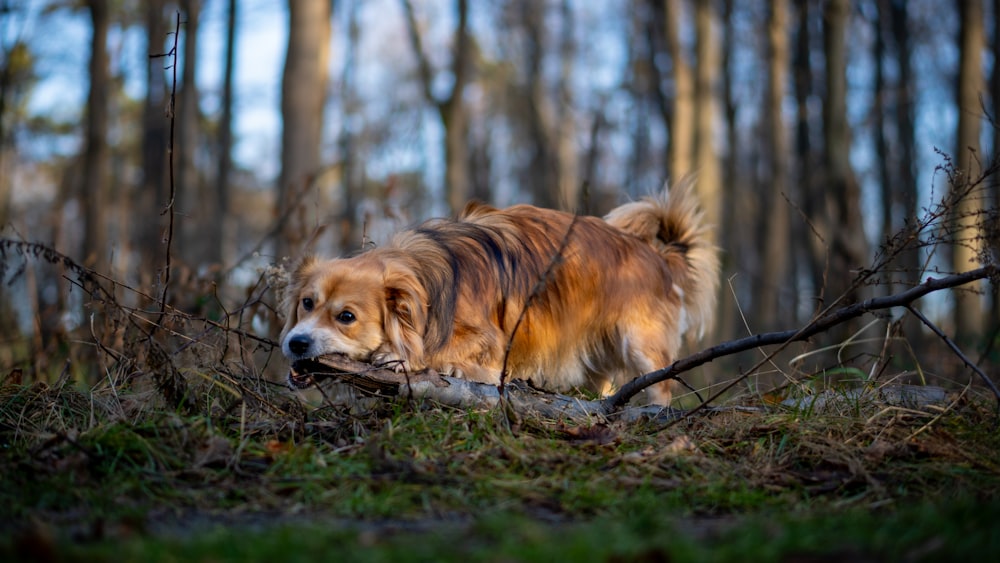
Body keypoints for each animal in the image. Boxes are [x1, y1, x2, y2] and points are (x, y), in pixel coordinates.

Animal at [282, 182, 720, 406]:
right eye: (307, 304)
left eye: (347, 317)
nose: (295, 343)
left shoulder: (492, 341)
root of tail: (658, 254)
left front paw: (402, 354)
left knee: (661, 384)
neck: (426, 280)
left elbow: (441, 351)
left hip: (640, 343)